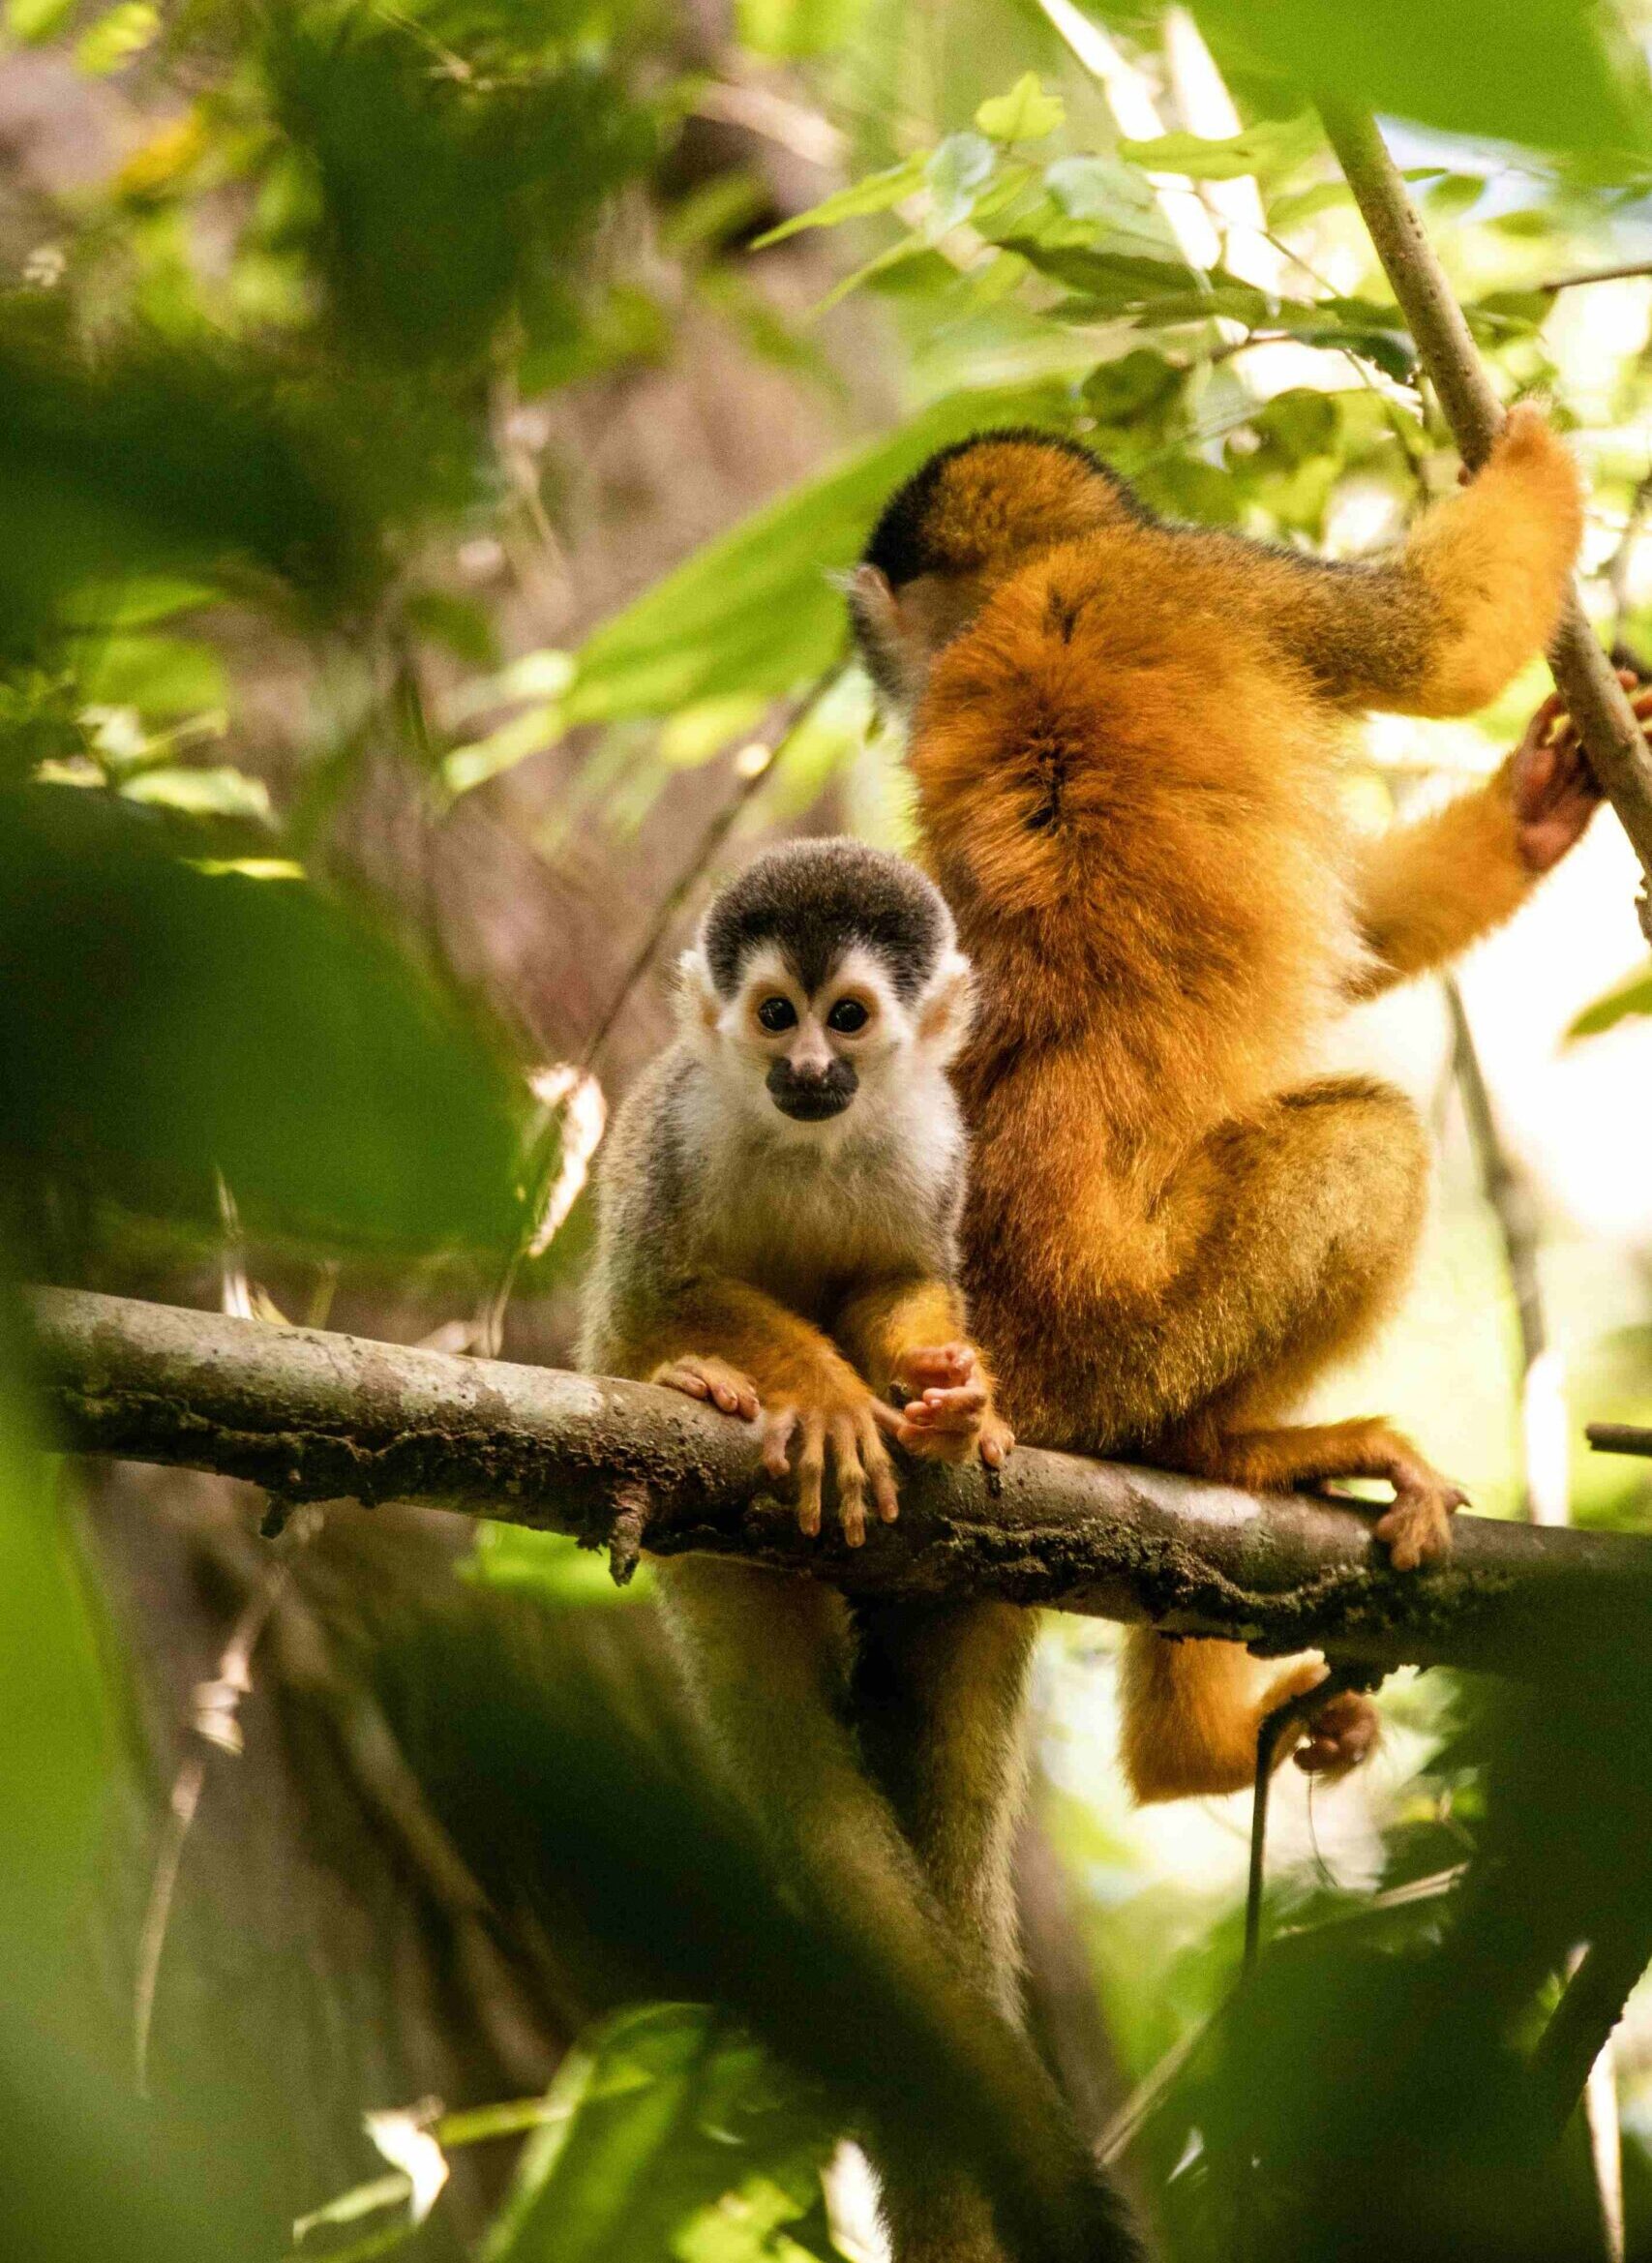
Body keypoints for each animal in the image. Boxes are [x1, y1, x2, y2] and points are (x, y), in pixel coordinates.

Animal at [578, 837, 1140, 2263]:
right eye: (774, 1013)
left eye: (848, 1019)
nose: (810, 1070)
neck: (807, 1137)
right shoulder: (680, 1135)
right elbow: (667, 1279)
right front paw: (824, 1401)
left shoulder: (937, 1143)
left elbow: (901, 1277)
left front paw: (950, 1388)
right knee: (629, 1318)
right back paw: (705, 1386)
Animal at [846, 406, 1593, 1807]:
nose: (880, 680)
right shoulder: (1212, 573)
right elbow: (1438, 641)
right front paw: (1525, 453)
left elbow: (1357, 921)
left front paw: (1529, 814)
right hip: (1133, 1332)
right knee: (1369, 1142)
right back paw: (1222, 1460)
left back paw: (1190, 1743)